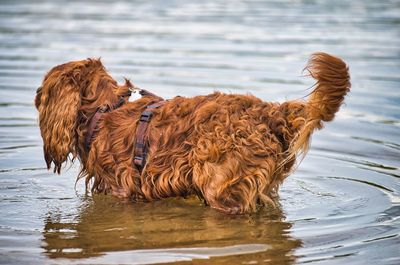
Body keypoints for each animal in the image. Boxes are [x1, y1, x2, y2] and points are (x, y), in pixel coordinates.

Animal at [34, 52, 350, 213]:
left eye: (43, 90)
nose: (36, 93)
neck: (105, 109)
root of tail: (270, 112)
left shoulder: (120, 187)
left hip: (223, 188)